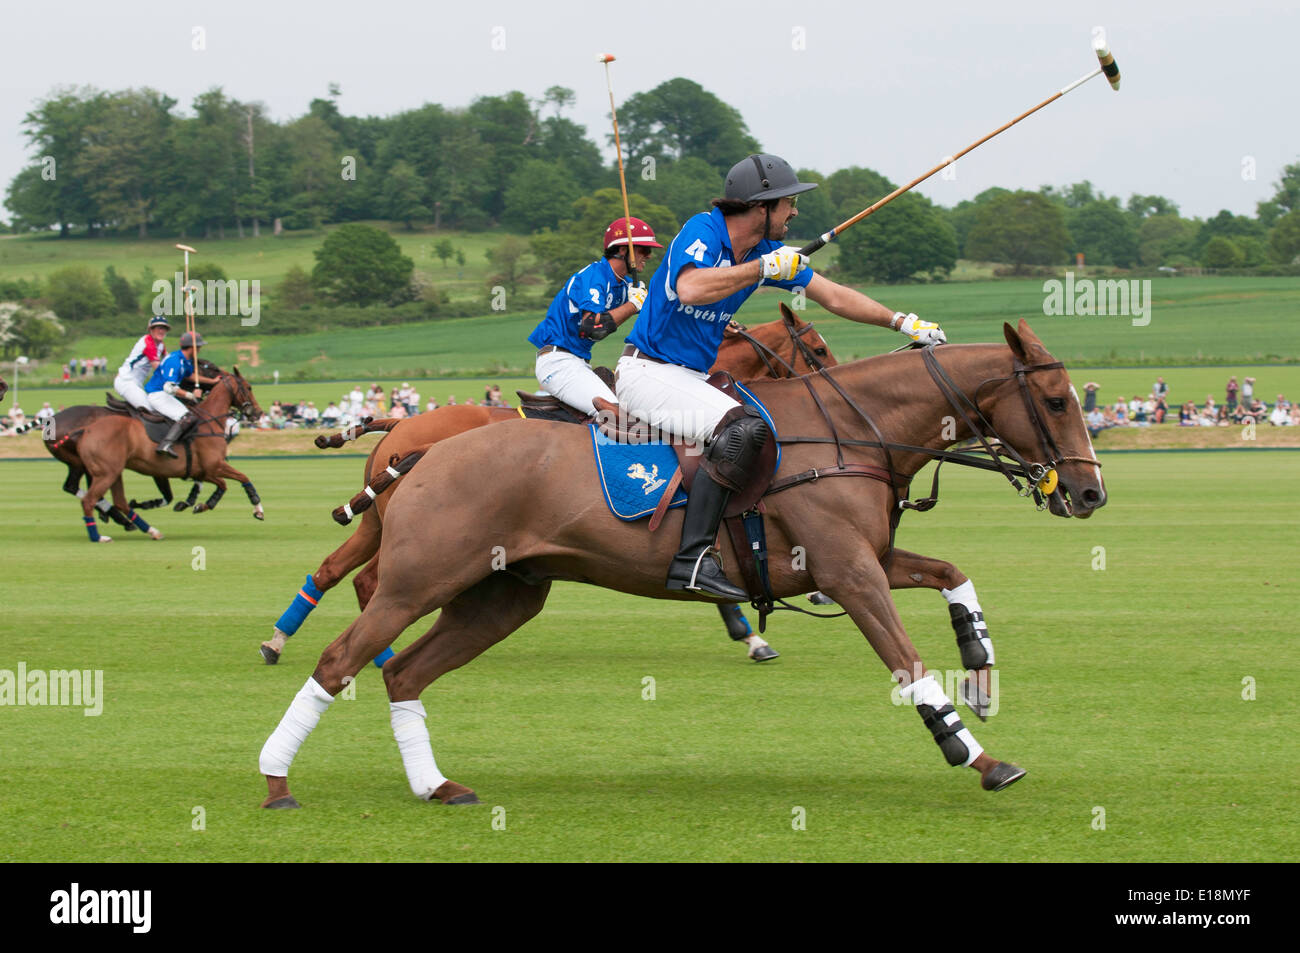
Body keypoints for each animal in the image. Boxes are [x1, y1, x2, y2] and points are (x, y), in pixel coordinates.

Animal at [45, 366, 263, 543]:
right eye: (248, 387)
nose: (258, 413)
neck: (208, 420)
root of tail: (85, 430)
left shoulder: (199, 471)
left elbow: (213, 486)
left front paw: (194, 504)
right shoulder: (212, 466)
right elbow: (238, 479)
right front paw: (257, 510)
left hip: (111, 471)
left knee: (116, 500)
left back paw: (147, 529)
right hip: (103, 472)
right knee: (88, 499)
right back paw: (99, 535)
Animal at [256, 323, 1107, 806]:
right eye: (1057, 401)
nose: (1091, 491)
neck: (850, 431)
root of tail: (425, 443)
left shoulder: (866, 557)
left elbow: (953, 572)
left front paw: (982, 673)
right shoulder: (848, 570)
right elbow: (907, 660)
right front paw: (976, 753)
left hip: (501, 595)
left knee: (403, 670)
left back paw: (434, 784)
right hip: (419, 577)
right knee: (341, 654)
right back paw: (276, 779)